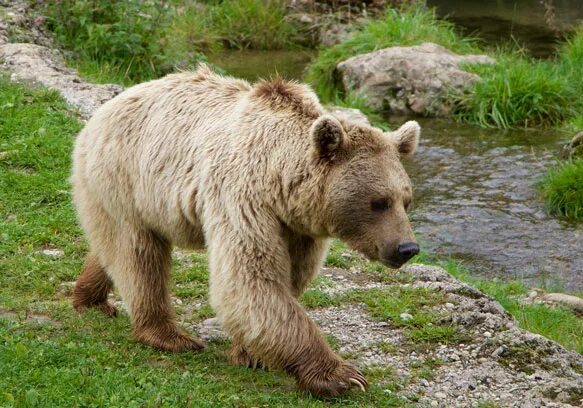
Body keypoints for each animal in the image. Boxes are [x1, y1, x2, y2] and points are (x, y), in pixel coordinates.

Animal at [70, 65, 422, 396]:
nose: (407, 248)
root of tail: (105, 108)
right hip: (126, 178)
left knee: (113, 249)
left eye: (406, 199)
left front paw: (250, 353)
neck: (280, 181)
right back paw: (169, 335)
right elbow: (249, 278)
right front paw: (342, 376)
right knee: (138, 255)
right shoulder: (242, 198)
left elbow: (287, 279)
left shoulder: (297, 227)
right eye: (379, 202)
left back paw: (90, 298)